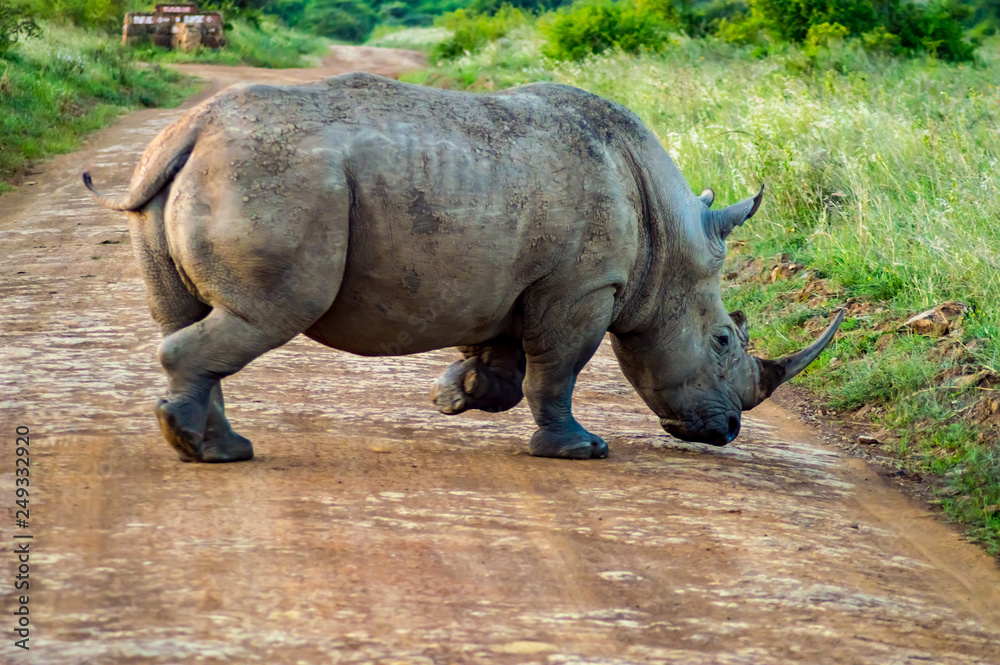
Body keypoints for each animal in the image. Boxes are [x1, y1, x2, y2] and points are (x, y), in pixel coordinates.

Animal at [83, 72, 842, 463]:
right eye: (723, 339)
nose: (728, 431)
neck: (666, 235)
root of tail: (189, 131)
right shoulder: (583, 286)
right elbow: (558, 370)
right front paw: (579, 449)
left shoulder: (518, 281)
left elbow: (506, 361)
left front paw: (454, 396)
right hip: (272, 180)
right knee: (264, 314)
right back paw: (201, 448)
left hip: (192, 177)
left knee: (195, 317)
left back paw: (220, 447)